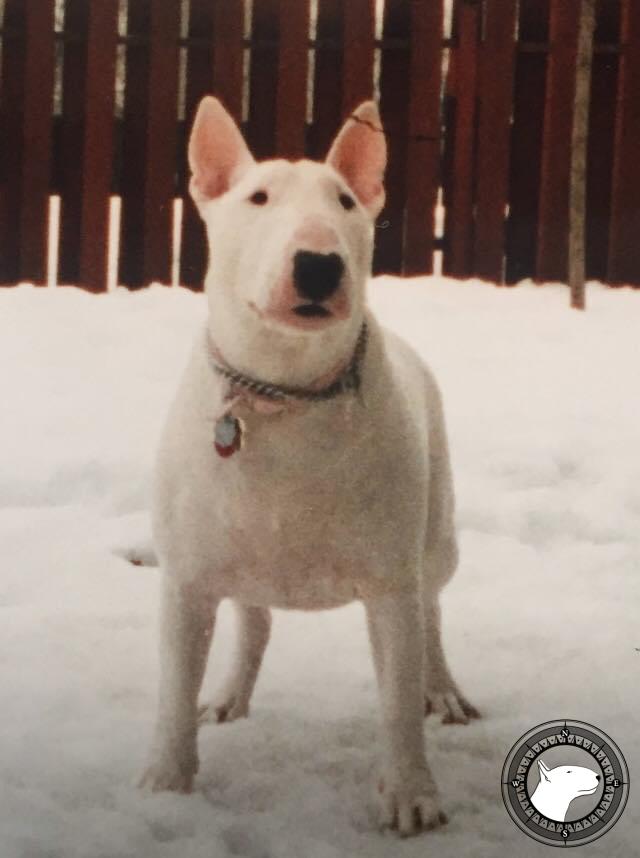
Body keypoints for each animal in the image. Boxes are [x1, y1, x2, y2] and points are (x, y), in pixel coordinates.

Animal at [141, 95, 480, 836]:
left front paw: (410, 794)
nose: (320, 265)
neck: (286, 394)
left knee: (433, 611)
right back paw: (229, 694)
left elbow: (397, 696)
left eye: (346, 201)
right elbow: (173, 690)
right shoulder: (186, 579)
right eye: (257, 197)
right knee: (254, 620)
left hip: (436, 540)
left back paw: (443, 690)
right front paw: (165, 782)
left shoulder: (389, 584)